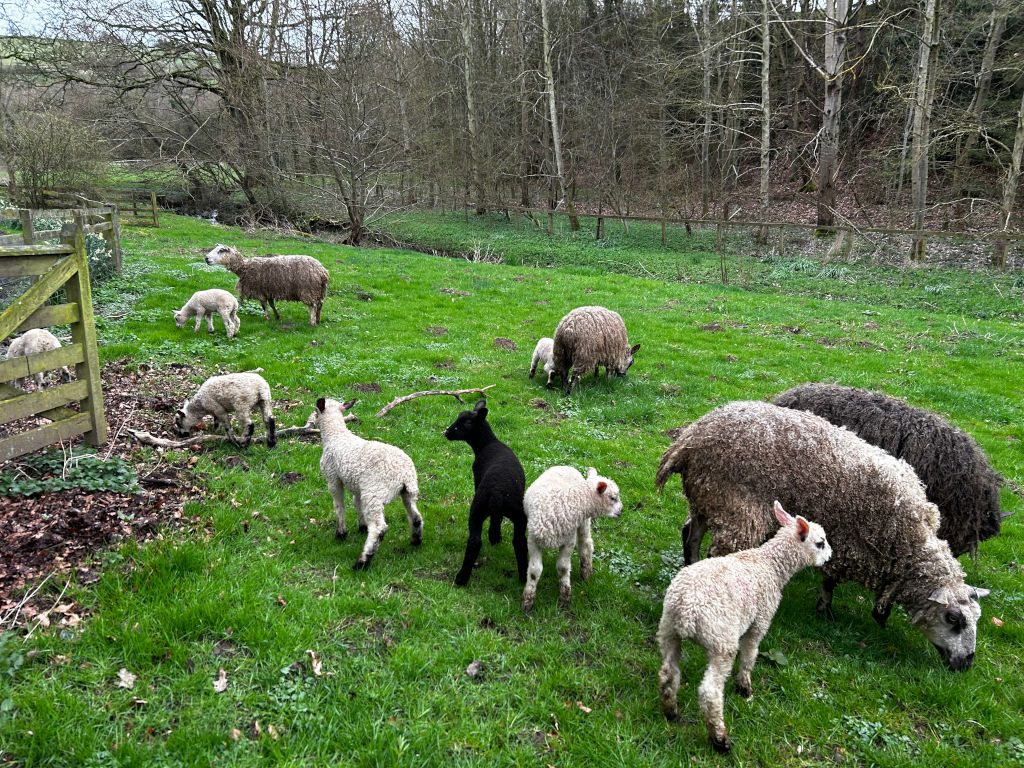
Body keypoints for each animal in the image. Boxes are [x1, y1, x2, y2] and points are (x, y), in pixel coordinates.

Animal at [316, 397, 424, 570]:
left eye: (315, 410)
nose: (312, 419)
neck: (336, 435)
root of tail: (404, 474)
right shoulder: (358, 486)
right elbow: (357, 503)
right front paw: (362, 527)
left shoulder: (333, 478)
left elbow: (339, 507)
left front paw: (341, 533)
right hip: (408, 492)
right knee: (416, 516)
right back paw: (415, 540)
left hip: (374, 493)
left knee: (379, 528)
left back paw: (362, 561)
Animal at [443, 399, 528, 586]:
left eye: (465, 423)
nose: (446, 432)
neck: (487, 444)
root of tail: (497, 492)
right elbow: (497, 520)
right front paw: (495, 537)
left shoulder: (476, 477)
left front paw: (494, 537)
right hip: (515, 514)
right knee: (518, 542)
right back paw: (524, 577)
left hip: (478, 507)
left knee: (476, 541)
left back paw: (461, 578)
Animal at [520, 466, 623, 611]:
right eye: (613, 498)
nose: (622, 510)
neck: (570, 498)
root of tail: (567, 466)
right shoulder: (533, 540)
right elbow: (535, 571)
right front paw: (527, 600)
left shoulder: (569, 541)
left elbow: (563, 568)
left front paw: (565, 597)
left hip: (584, 522)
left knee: (586, 544)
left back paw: (586, 573)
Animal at [655, 400, 990, 671]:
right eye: (954, 619)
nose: (966, 665)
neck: (908, 543)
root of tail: (689, 439)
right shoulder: (847, 542)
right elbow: (830, 579)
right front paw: (826, 610)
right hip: (735, 506)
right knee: (718, 554)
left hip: (707, 495)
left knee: (691, 535)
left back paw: (688, 565)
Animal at [658, 501, 831, 753]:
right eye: (820, 543)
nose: (830, 557)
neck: (771, 565)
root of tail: (686, 610)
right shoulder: (761, 619)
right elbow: (750, 654)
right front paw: (745, 688)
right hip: (721, 640)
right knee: (710, 692)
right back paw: (720, 740)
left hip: (668, 631)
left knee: (668, 674)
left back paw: (671, 713)